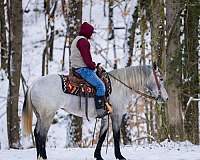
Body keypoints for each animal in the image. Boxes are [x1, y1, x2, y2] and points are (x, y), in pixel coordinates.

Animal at [22, 64, 169, 159]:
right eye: (161, 79)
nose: (166, 98)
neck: (119, 87)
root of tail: (33, 84)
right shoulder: (116, 114)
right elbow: (116, 135)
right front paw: (119, 156)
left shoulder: (105, 116)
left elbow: (102, 135)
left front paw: (98, 156)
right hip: (47, 115)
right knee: (41, 135)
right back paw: (44, 157)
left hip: (40, 116)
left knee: (37, 133)